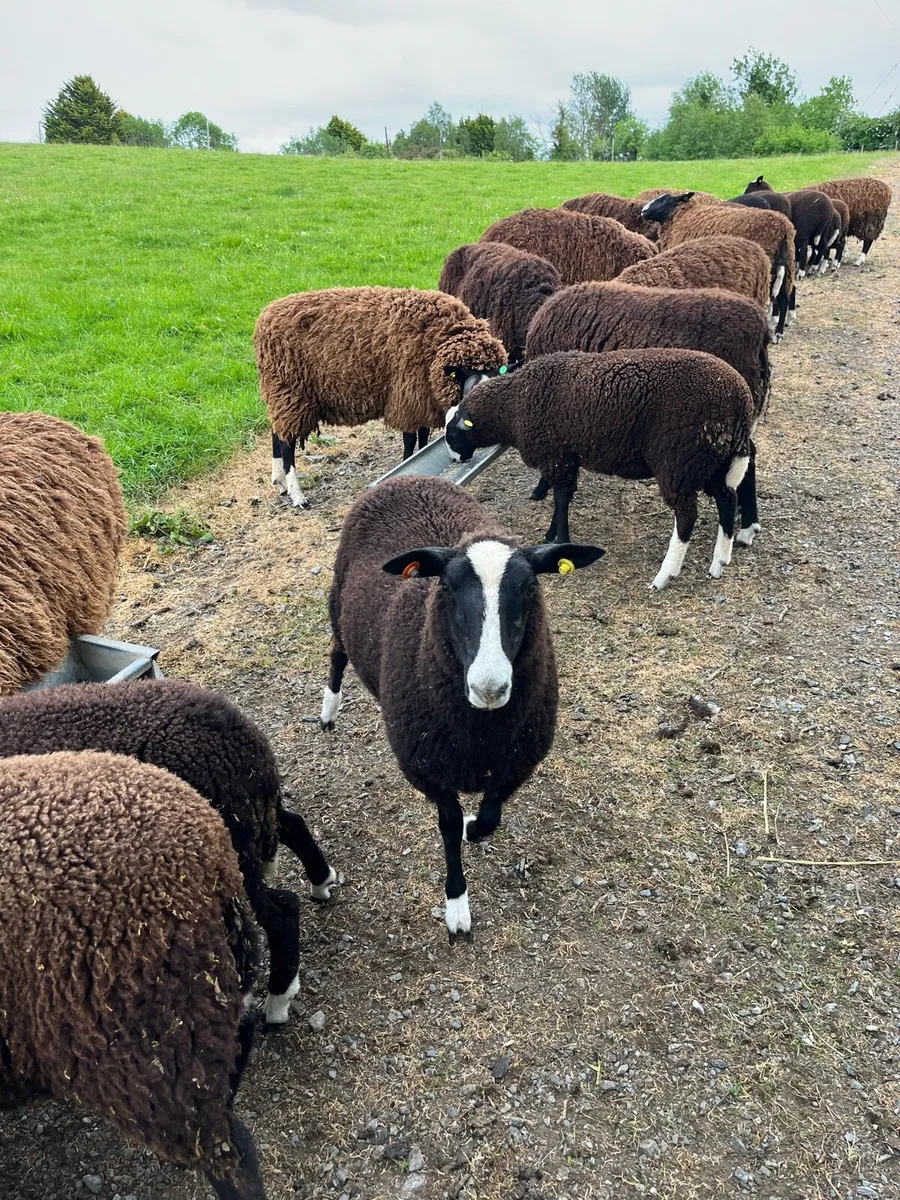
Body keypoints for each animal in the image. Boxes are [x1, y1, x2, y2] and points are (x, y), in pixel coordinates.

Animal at [0, 679, 337, 1026]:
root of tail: (243, 739)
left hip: (228, 855)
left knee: (280, 913)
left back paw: (277, 1002)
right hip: (245, 828)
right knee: (292, 826)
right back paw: (322, 881)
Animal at [255, 287, 507, 508]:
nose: (462, 460)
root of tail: (265, 316)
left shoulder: (421, 401)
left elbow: (423, 439)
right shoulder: (407, 398)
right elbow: (410, 441)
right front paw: (406, 465)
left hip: (282, 395)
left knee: (277, 434)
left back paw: (280, 483)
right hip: (290, 392)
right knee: (287, 445)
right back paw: (297, 496)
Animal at [320, 475, 604, 939]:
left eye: (530, 588)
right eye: (447, 588)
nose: (490, 687)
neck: (481, 733)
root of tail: (407, 478)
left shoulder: (516, 761)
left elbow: (490, 817)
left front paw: (476, 828)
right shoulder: (427, 768)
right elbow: (450, 827)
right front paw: (456, 905)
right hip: (337, 607)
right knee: (337, 654)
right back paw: (329, 709)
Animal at [444, 348, 760, 590]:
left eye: (452, 434)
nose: (455, 460)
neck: (514, 405)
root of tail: (740, 398)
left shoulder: (556, 455)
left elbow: (561, 498)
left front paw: (561, 539)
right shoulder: (565, 456)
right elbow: (562, 497)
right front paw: (551, 534)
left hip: (680, 462)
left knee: (686, 516)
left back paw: (664, 575)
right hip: (713, 460)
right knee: (727, 500)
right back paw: (719, 562)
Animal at [639, 192, 796, 339]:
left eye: (665, 200)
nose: (643, 211)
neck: (681, 217)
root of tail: (783, 227)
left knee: (781, 298)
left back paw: (778, 332)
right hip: (787, 264)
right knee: (785, 295)